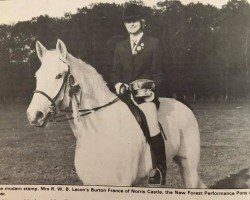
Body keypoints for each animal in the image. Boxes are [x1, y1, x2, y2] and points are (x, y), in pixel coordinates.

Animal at [27, 39, 206, 188]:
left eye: (59, 75)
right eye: (37, 75)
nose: (34, 115)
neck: (100, 130)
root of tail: (182, 104)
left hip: (188, 165)